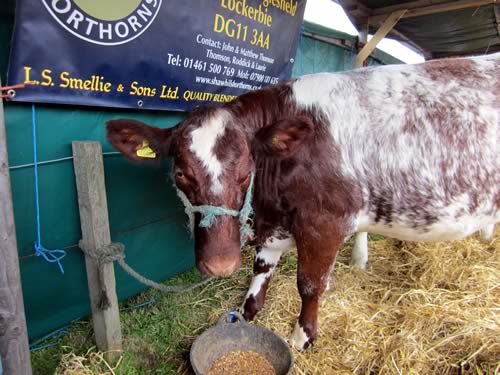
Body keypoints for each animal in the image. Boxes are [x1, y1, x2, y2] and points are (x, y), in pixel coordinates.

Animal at [107, 53, 498, 352]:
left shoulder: (325, 222)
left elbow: (310, 284)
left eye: (246, 172)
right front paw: (245, 316)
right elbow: (260, 275)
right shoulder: (275, 228)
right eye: (180, 173)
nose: (220, 264)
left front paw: (302, 337)